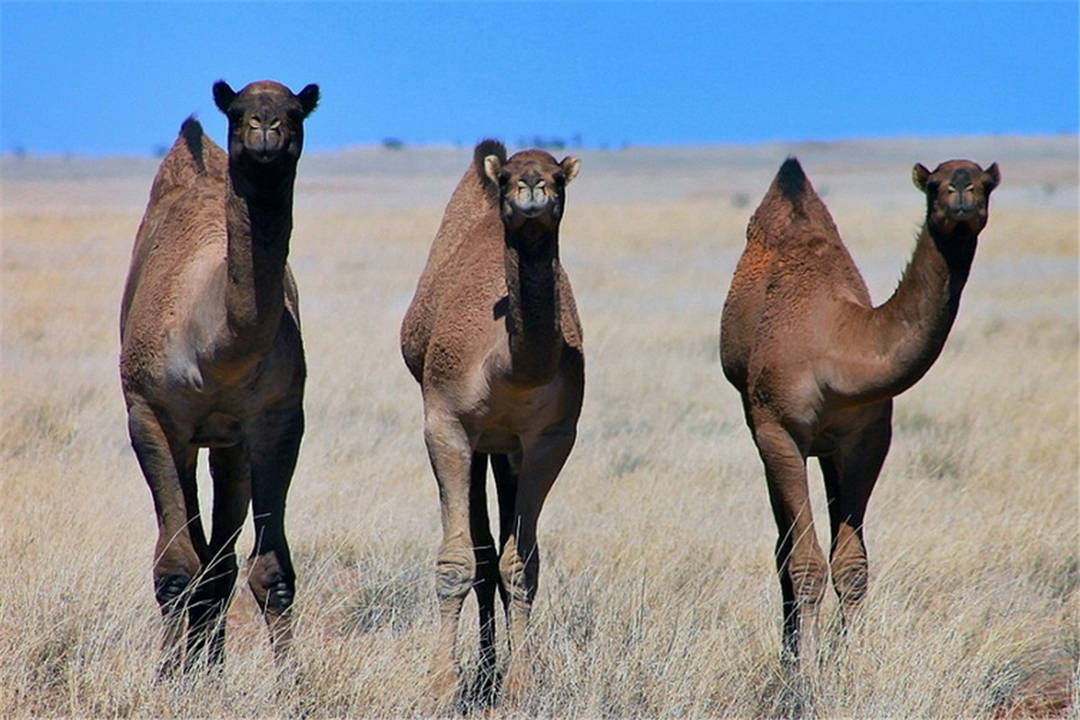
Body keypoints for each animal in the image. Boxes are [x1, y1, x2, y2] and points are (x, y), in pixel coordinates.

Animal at [121, 80, 319, 677]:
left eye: (296, 112)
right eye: (237, 112)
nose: (266, 130)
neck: (215, 348)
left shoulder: (277, 422)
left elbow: (271, 569)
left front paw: (290, 680)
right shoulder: (150, 415)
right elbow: (174, 566)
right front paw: (168, 676)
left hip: (230, 446)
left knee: (222, 558)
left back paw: (211, 662)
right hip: (184, 439)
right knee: (195, 548)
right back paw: (194, 663)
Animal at [401, 138, 583, 708]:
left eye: (559, 177)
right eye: (506, 178)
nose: (532, 188)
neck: (505, 367)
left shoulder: (550, 439)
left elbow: (520, 565)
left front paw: (520, 684)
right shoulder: (446, 426)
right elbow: (459, 562)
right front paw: (441, 686)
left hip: (507, 450)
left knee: (497, 555)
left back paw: (490, 671)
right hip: (480, 444)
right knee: (480, 553)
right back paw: (479, 673)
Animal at [721, 157, 997, 664]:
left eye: (988, 183)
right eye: (934, 184)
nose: (962, 192)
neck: (839, 348)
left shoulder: (869, 436)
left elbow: (851, 564)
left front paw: (849, 659)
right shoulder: (778, 429)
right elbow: (805, 561)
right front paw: (805, 669)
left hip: (828, 450)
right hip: (761, 425)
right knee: (783, 546)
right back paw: (789, 651)